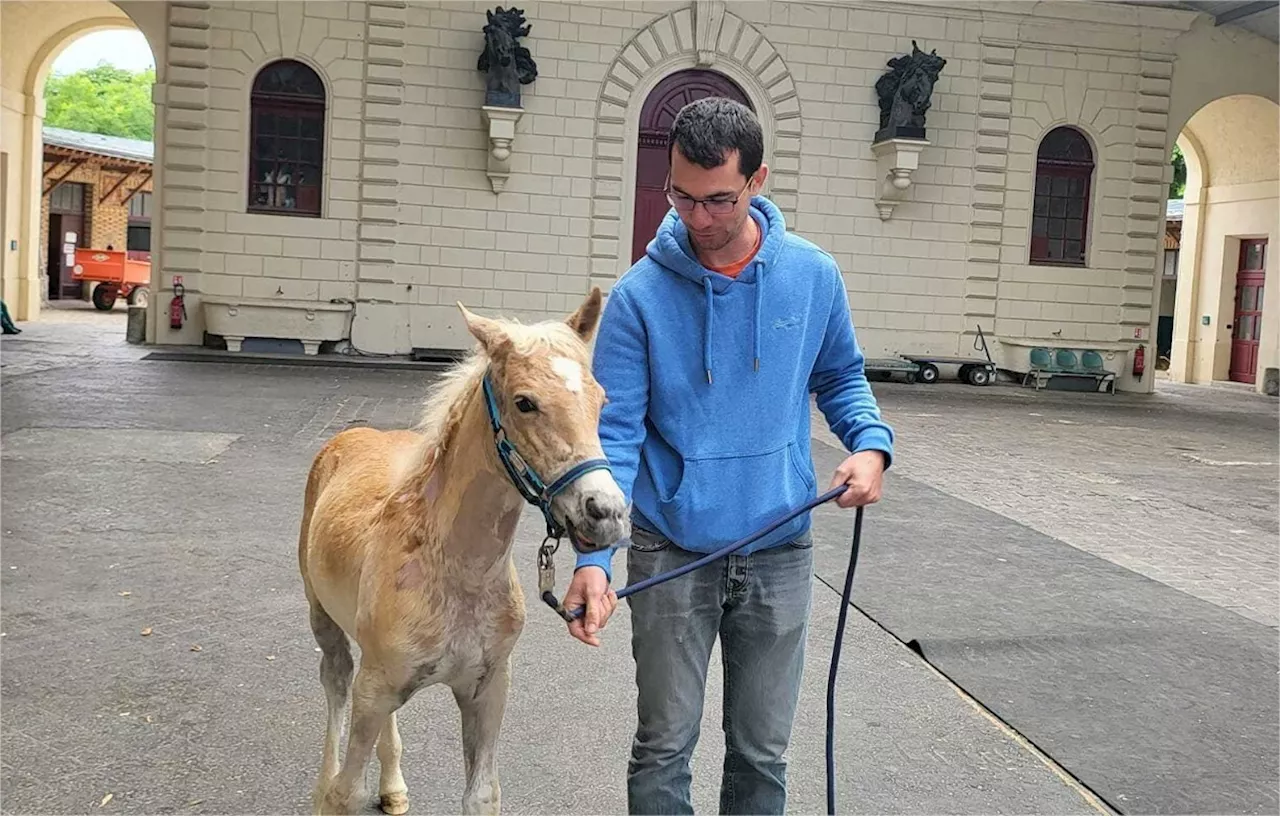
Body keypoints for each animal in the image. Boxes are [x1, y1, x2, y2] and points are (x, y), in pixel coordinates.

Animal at [295, 289, 624, 816]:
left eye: (600, 399)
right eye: (525, 402)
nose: (606, 512)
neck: (457, 573)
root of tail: (354, 434)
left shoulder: (487, 689)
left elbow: (482, 794)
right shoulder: (374, 689)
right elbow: (346, 793)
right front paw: (335, 791)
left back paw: (393, 786)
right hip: (323, 619)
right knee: (336, 681)